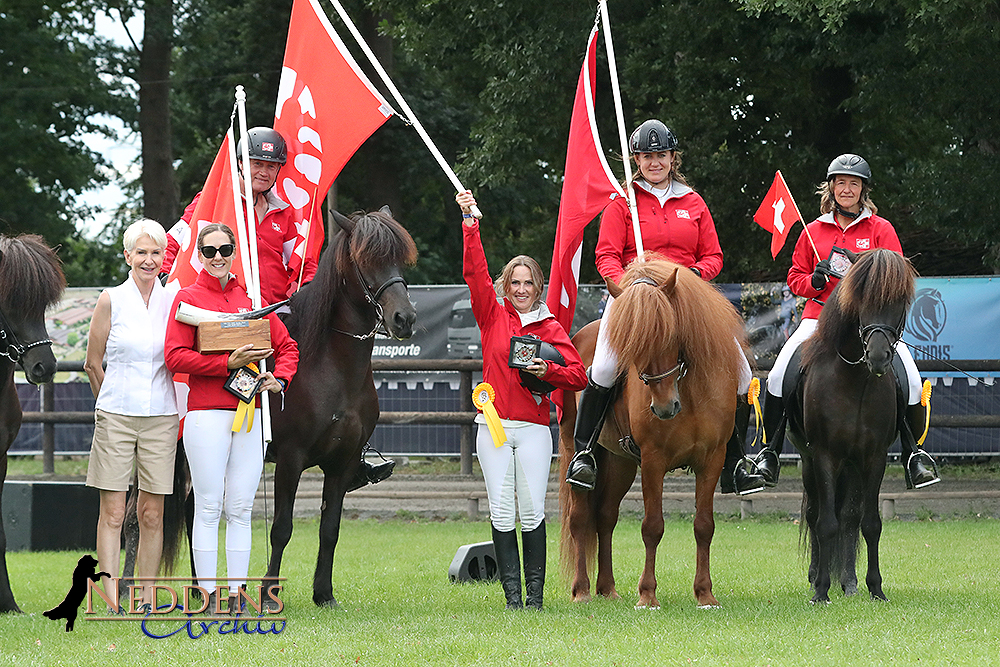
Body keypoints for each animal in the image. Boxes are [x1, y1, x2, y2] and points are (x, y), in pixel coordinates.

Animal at [264, 211, 416, 608]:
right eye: (366, 260)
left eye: (399, 259)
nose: (404, 319)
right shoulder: (290, 458)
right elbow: (281, 528)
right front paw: (269, 596)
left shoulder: (342, 463)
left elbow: (330, 529)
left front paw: (324, 593)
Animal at [560, 258, 748, 612]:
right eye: (633, 346)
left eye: (672, 334)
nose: (664, 408)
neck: (688, 390)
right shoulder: (652, 461)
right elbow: (652, 527)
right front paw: (647, 594)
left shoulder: (712, 460)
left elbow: (704, 526)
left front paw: (705, 594)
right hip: (572, 448)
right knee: (579, 518)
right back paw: (582, 591)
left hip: (619, 462)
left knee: (605, 517)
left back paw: (608, 589)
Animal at [784, 248, 916, 604]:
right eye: (861, 297)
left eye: (899, 300)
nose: (879, 356)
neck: (855, 380)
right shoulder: (825, 455)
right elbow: (825, 522)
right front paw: (821, 591)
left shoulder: (874, 456)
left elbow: (868, 523)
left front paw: (875, 588)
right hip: (809, 461)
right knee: (815, 513)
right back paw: (818, 577)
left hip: (853, 464)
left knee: (849, 517)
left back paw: (848, 581)